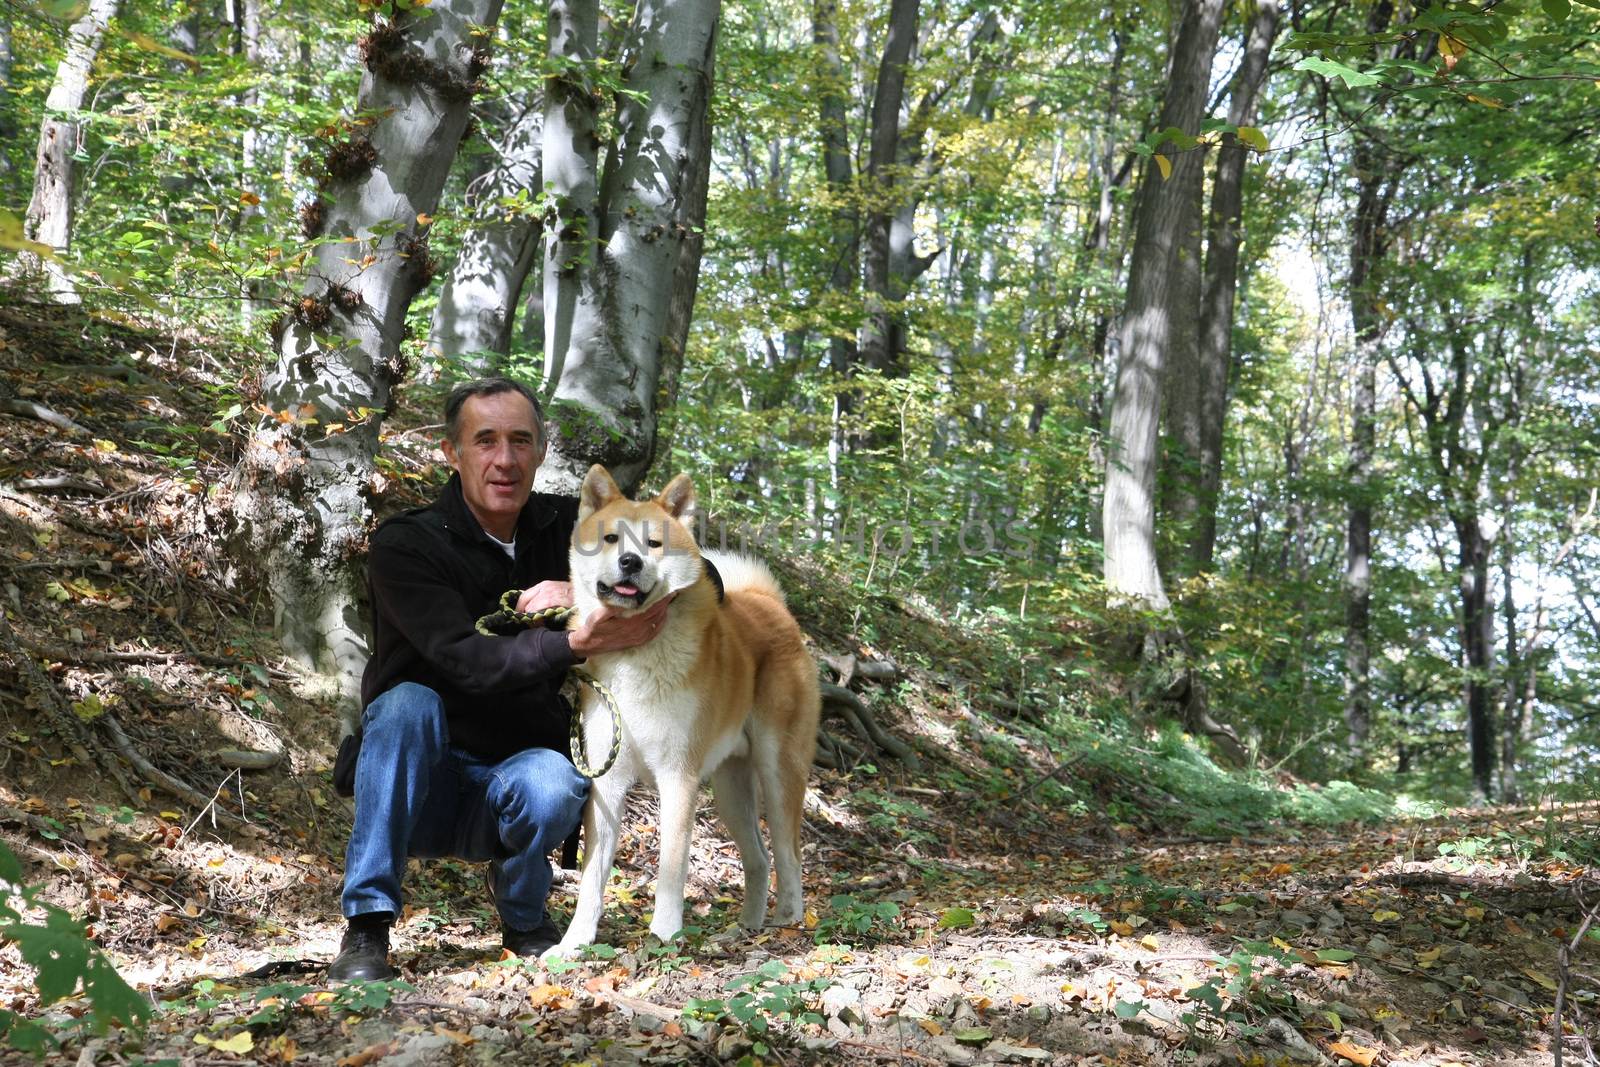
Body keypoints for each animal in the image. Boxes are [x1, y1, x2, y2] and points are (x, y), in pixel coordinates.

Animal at [550, 463, 825, 953]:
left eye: (654, 544)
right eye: (611, 539)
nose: (631, 562)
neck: (634, 654)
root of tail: (771, 604)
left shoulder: (678, 777)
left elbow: (672, 866)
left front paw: (663, 935)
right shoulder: (608, 783)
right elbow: (592, 876)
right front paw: (575, 943)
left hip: (777, 772)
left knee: (789, 855)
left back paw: (786, 926)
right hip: (731, 789)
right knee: (759, 859)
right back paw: (744, 930)